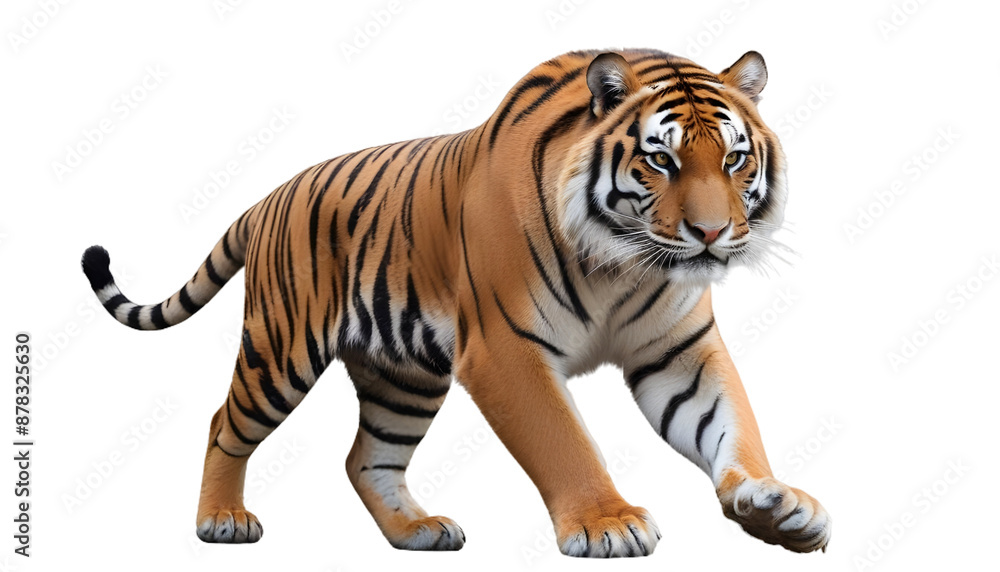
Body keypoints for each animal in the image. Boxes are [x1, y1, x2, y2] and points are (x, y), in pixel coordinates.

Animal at [81, 48, 831, 557]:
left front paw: (774, 505)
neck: (627, 267)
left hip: (404, 376)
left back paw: (417, 529)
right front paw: (607, 523)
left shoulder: (679, 351)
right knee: (222, 424)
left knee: (367, 458)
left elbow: (731, 423)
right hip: (281, 350)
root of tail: (266, 198)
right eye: (662, 161)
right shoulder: (506, 350)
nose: (711, 233)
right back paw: (221, 521)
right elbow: (563, 441)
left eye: (733, 159)